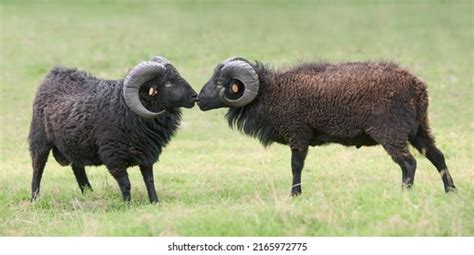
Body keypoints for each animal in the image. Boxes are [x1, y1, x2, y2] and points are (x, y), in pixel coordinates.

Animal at [28, 56, 197, 203]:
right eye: (168, 83)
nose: (195, 96)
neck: (126, 108)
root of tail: (55, 73)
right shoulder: (114, 156)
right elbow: (126, 183)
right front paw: (127, 205)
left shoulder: (147, 153)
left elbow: (149, 180)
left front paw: (154, 202)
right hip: (39, 139)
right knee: (38, 168)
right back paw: (34, 198)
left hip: (75, 143)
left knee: (78, 168)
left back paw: (89, 193)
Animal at [196, 57, 456, 195]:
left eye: (221, 83)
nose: (198, 99)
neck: (270, 93)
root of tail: (417, 88)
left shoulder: (298, 133)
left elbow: (296, 166)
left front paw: (295, 194)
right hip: (419, 128)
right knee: (437, 156)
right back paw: (450, 191)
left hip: (390, 131)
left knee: (409, 163)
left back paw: (404, 193)